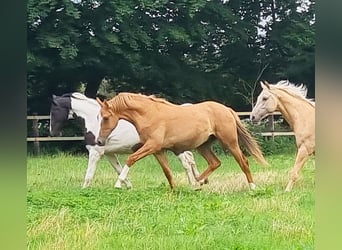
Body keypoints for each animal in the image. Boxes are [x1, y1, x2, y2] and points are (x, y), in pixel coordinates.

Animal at [49, 93, 202, 188]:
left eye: (53, 111)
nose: (53, 133)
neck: (93, 121)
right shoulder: (109, 153)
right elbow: (119, 169)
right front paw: (128, 186)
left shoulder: (95, 152)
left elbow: (89, 175)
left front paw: (84, 190)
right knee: (189, 160)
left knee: (186, 163)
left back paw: (194, 185)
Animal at [96, 93, 268, 189]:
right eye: (99, 117)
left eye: (105, 118)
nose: (99, 141)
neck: (149, 114)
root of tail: (227, 109)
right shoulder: (158, 151)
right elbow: (167, 172)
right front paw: (174, 190)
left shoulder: (152, 146)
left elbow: (131, 159)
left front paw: (118, 183)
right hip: (203, 146)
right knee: (215, 162)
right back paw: (197, 183)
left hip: (229, 142)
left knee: (243, 161)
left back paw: (252, 186)